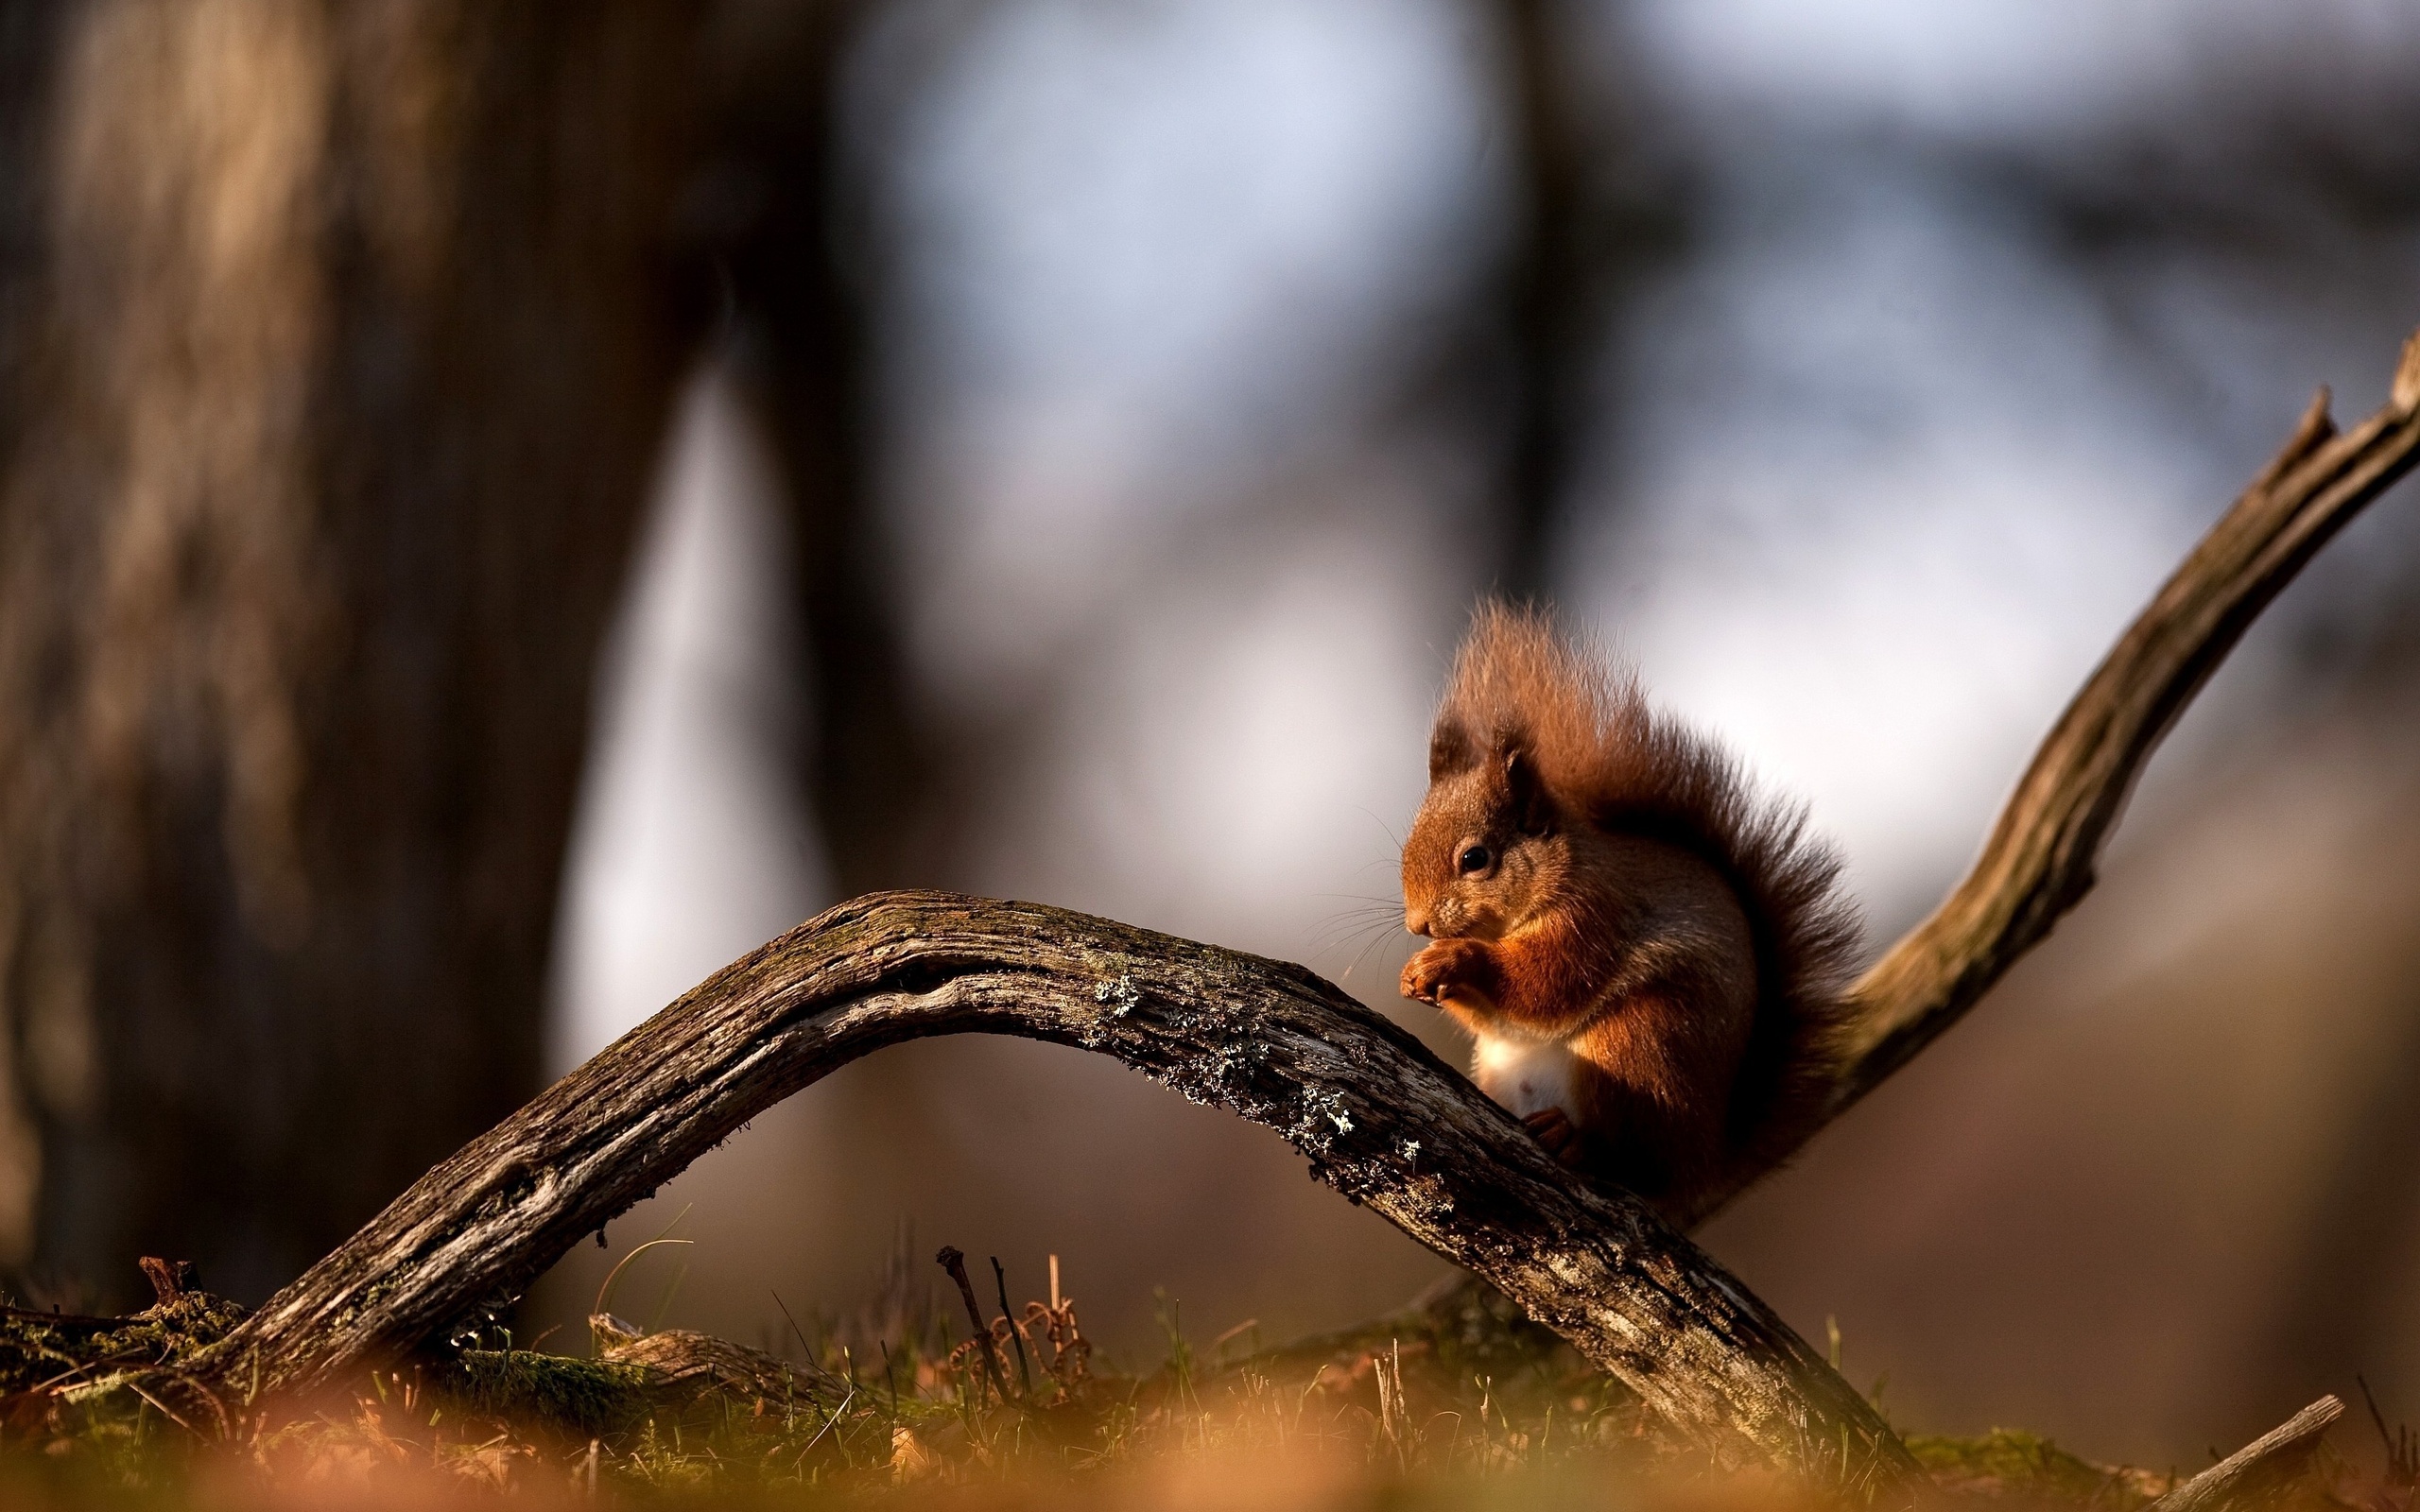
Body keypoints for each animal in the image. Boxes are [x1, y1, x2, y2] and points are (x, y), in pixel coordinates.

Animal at [1403, 602, 1848, 1214]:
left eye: (1475, 858)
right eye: (1406, 844)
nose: (1418, 924)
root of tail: (1702, 1165)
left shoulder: (1595, 916)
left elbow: (1543, 985)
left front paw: (1454, 959)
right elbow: (1498, 1016)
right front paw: (1419, 975)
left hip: (1641, 1046)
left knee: (1634, 1161)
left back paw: (1579, 1143)